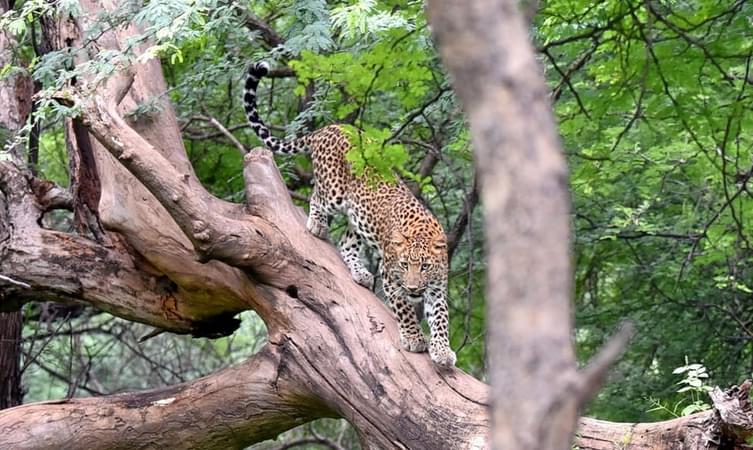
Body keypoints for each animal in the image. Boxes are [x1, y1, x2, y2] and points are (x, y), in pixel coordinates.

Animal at [243, 62, 456, 367]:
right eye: (405, 265)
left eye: (425, 267)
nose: (414, 288)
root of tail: (328, 127)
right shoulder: (390, 275)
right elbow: (403, 308)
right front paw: (414, 338)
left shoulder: (437, 286)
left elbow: (440, 317)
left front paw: (442, 349)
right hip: (334, 192)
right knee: (317, 197)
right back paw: (316, 225)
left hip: (359, 218)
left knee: (346, 242)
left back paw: (360, 273)